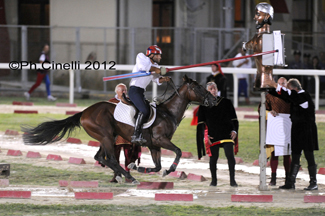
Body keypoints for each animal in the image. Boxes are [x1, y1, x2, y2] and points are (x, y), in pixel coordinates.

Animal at [22, 75, 215, 184]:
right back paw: (129, 177)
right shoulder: (161, 140)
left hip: (107, 137)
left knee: (100, 157)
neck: (168, 112)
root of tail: (84, 112)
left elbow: (157, 165)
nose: (214, 99)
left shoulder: (154, 145)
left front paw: (140, 167)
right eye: (198, 87)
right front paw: (169, 170)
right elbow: (178, 152)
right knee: (111, 159)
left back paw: (126, 174)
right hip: (106, 136)